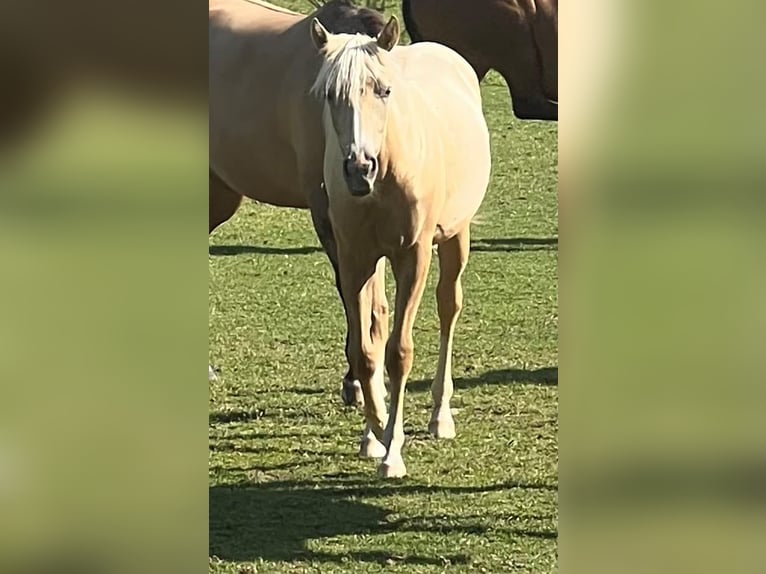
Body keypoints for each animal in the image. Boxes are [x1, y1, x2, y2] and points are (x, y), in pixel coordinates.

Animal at [310, 16, 491, 477]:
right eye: (330, 95)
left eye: (384, 90)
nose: (359, 168)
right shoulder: (355, 259)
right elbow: (365, 352)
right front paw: (375, 429)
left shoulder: (413, 257)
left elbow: (399, 353)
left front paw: (393, 450)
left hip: (455, 237)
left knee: (448, 307)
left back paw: (440, 416)